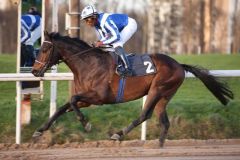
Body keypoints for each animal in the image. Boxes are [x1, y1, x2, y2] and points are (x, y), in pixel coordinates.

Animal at [31, 31, 233, 148]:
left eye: (44, 49)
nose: (34, 71)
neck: (88, 64)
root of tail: (179, 65)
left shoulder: (98, 97)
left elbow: (72, 101)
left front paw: (86, 124)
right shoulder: (86, 99)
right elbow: (63, 107)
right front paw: (39, 130)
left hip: (158, 89)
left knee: (145, 115)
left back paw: (118, 135)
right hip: (164, 95)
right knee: (164, 120)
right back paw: (159, 145)